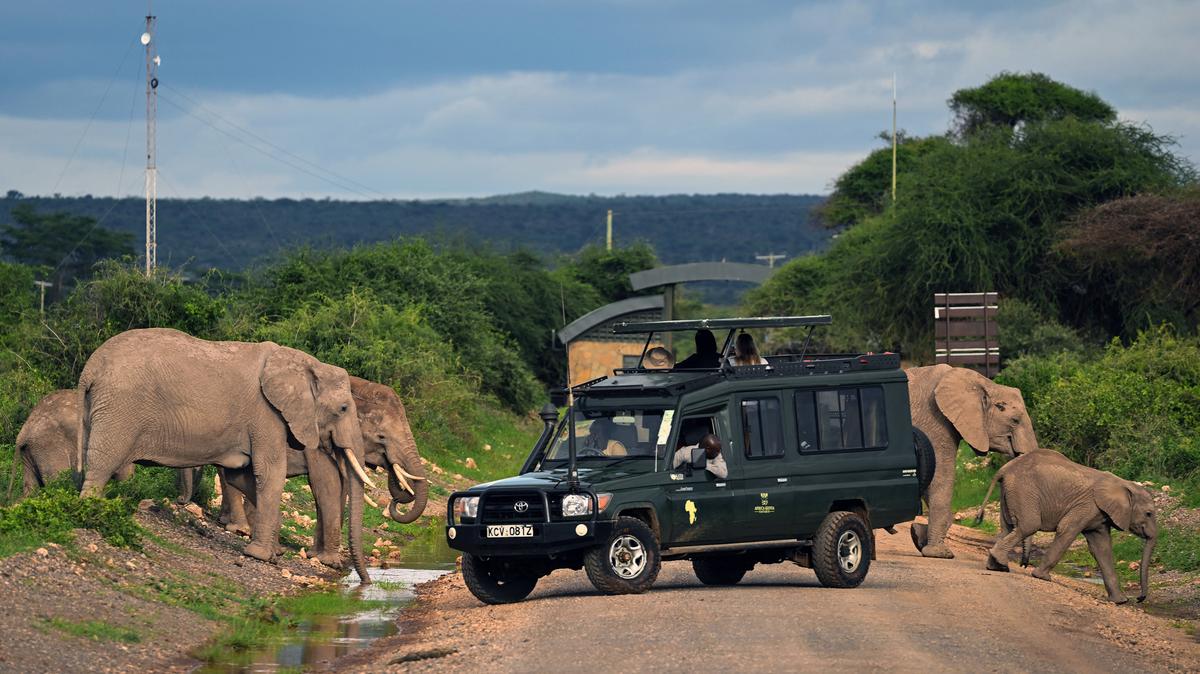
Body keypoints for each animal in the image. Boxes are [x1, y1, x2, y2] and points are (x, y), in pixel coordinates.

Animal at [77, 328, 375, 574]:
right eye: (343, 409)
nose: (363, 581)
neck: (305, 363)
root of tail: (90, 367)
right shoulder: (266, 414)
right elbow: (270, 473)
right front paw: (261, 556)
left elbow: (241, 476)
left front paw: (273, 553)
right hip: (119, 406)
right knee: (103, 461)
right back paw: (92, 509)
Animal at [218, 376, 428, 567]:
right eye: (381, 437)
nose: (396, 499)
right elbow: (326, 482)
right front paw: (331, 562)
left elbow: (340, 487)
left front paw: (316, 555)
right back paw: (242, 530)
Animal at [907, 364, 1039, 558]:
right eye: (1015, 420)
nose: (1024, 562)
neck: (983, 383)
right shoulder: (934, 422)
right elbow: (939, 477)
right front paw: (940, 553)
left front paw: (917, 535)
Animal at [977, 449, 1157, 604]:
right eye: (1149, 513)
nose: (1139, 599)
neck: (1123, 484)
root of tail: (1004, 469)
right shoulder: (1087, 506)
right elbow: (1067, 530)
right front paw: (1041, 577)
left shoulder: (1099, 514)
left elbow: (1102, 547)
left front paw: (1120, 601)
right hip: (1023, 490)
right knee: (1028, 526)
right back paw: (1000, 563)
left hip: (1009, 492)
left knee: (1007, 529)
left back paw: (996, 566)